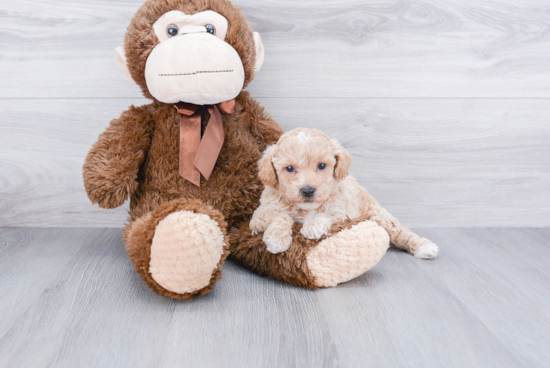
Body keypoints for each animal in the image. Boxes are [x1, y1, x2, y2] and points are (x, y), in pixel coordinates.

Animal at [253, 128, 440, 260]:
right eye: (289, 168)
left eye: (322, 166)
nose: (308, 190)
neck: (307, 209)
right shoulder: (259, 214)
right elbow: (282, 216)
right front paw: (277, 239)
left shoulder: (344, 213)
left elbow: (326, 215)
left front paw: (313, 226)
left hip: (377, 214)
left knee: (400, 232)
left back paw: (424, 246)